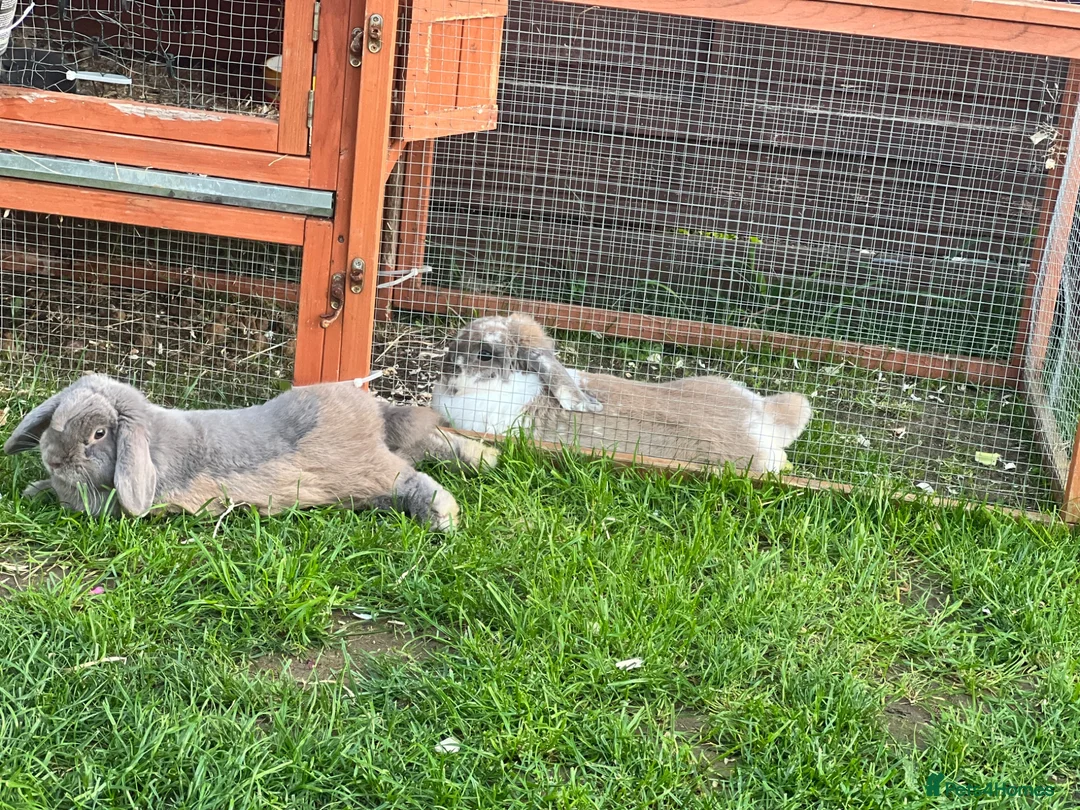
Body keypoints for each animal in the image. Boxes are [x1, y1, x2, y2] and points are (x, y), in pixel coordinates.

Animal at [3, 373, 500, 532]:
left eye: (99, 433)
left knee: (416, 478)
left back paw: (444, 517)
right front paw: (34, 488)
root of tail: (374, 417)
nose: (54, 458)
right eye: (57, 415)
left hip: (369, 473)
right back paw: (486, 460)